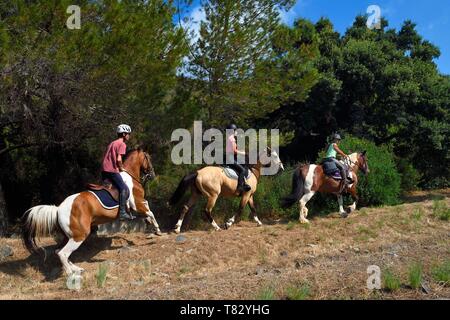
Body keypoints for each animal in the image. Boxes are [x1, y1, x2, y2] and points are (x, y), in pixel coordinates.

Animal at [21, 148, 162, 276]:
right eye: (148, 158)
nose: (152, 174)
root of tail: (58, 209)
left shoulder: (139, 203)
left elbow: (148, 209)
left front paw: (149, 223)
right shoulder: (136, 204)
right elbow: (150, 212)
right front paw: (157, 229)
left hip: (69, 236)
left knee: (59, 252)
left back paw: (76, 268)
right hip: (79, 236)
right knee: (63, 253)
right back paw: (70, 273)